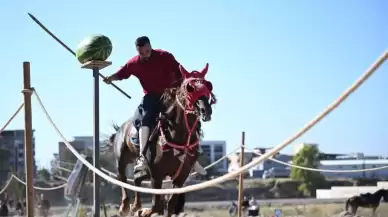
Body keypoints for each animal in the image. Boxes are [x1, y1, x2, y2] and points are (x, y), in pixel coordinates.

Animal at [103, 63, 217, 217]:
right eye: (190, 88)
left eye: (208, 86)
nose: (206, 110)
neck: (179, 137)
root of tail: (120, 129)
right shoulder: (156, 174)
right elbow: (156, 206)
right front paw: (144, 211)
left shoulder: (181, 175)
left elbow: (170, 205)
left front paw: (143, 210)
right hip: (122, 158)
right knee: (122, 177)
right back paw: (126, 205)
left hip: (146, 170)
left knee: (137, 178)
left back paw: (136, 205)